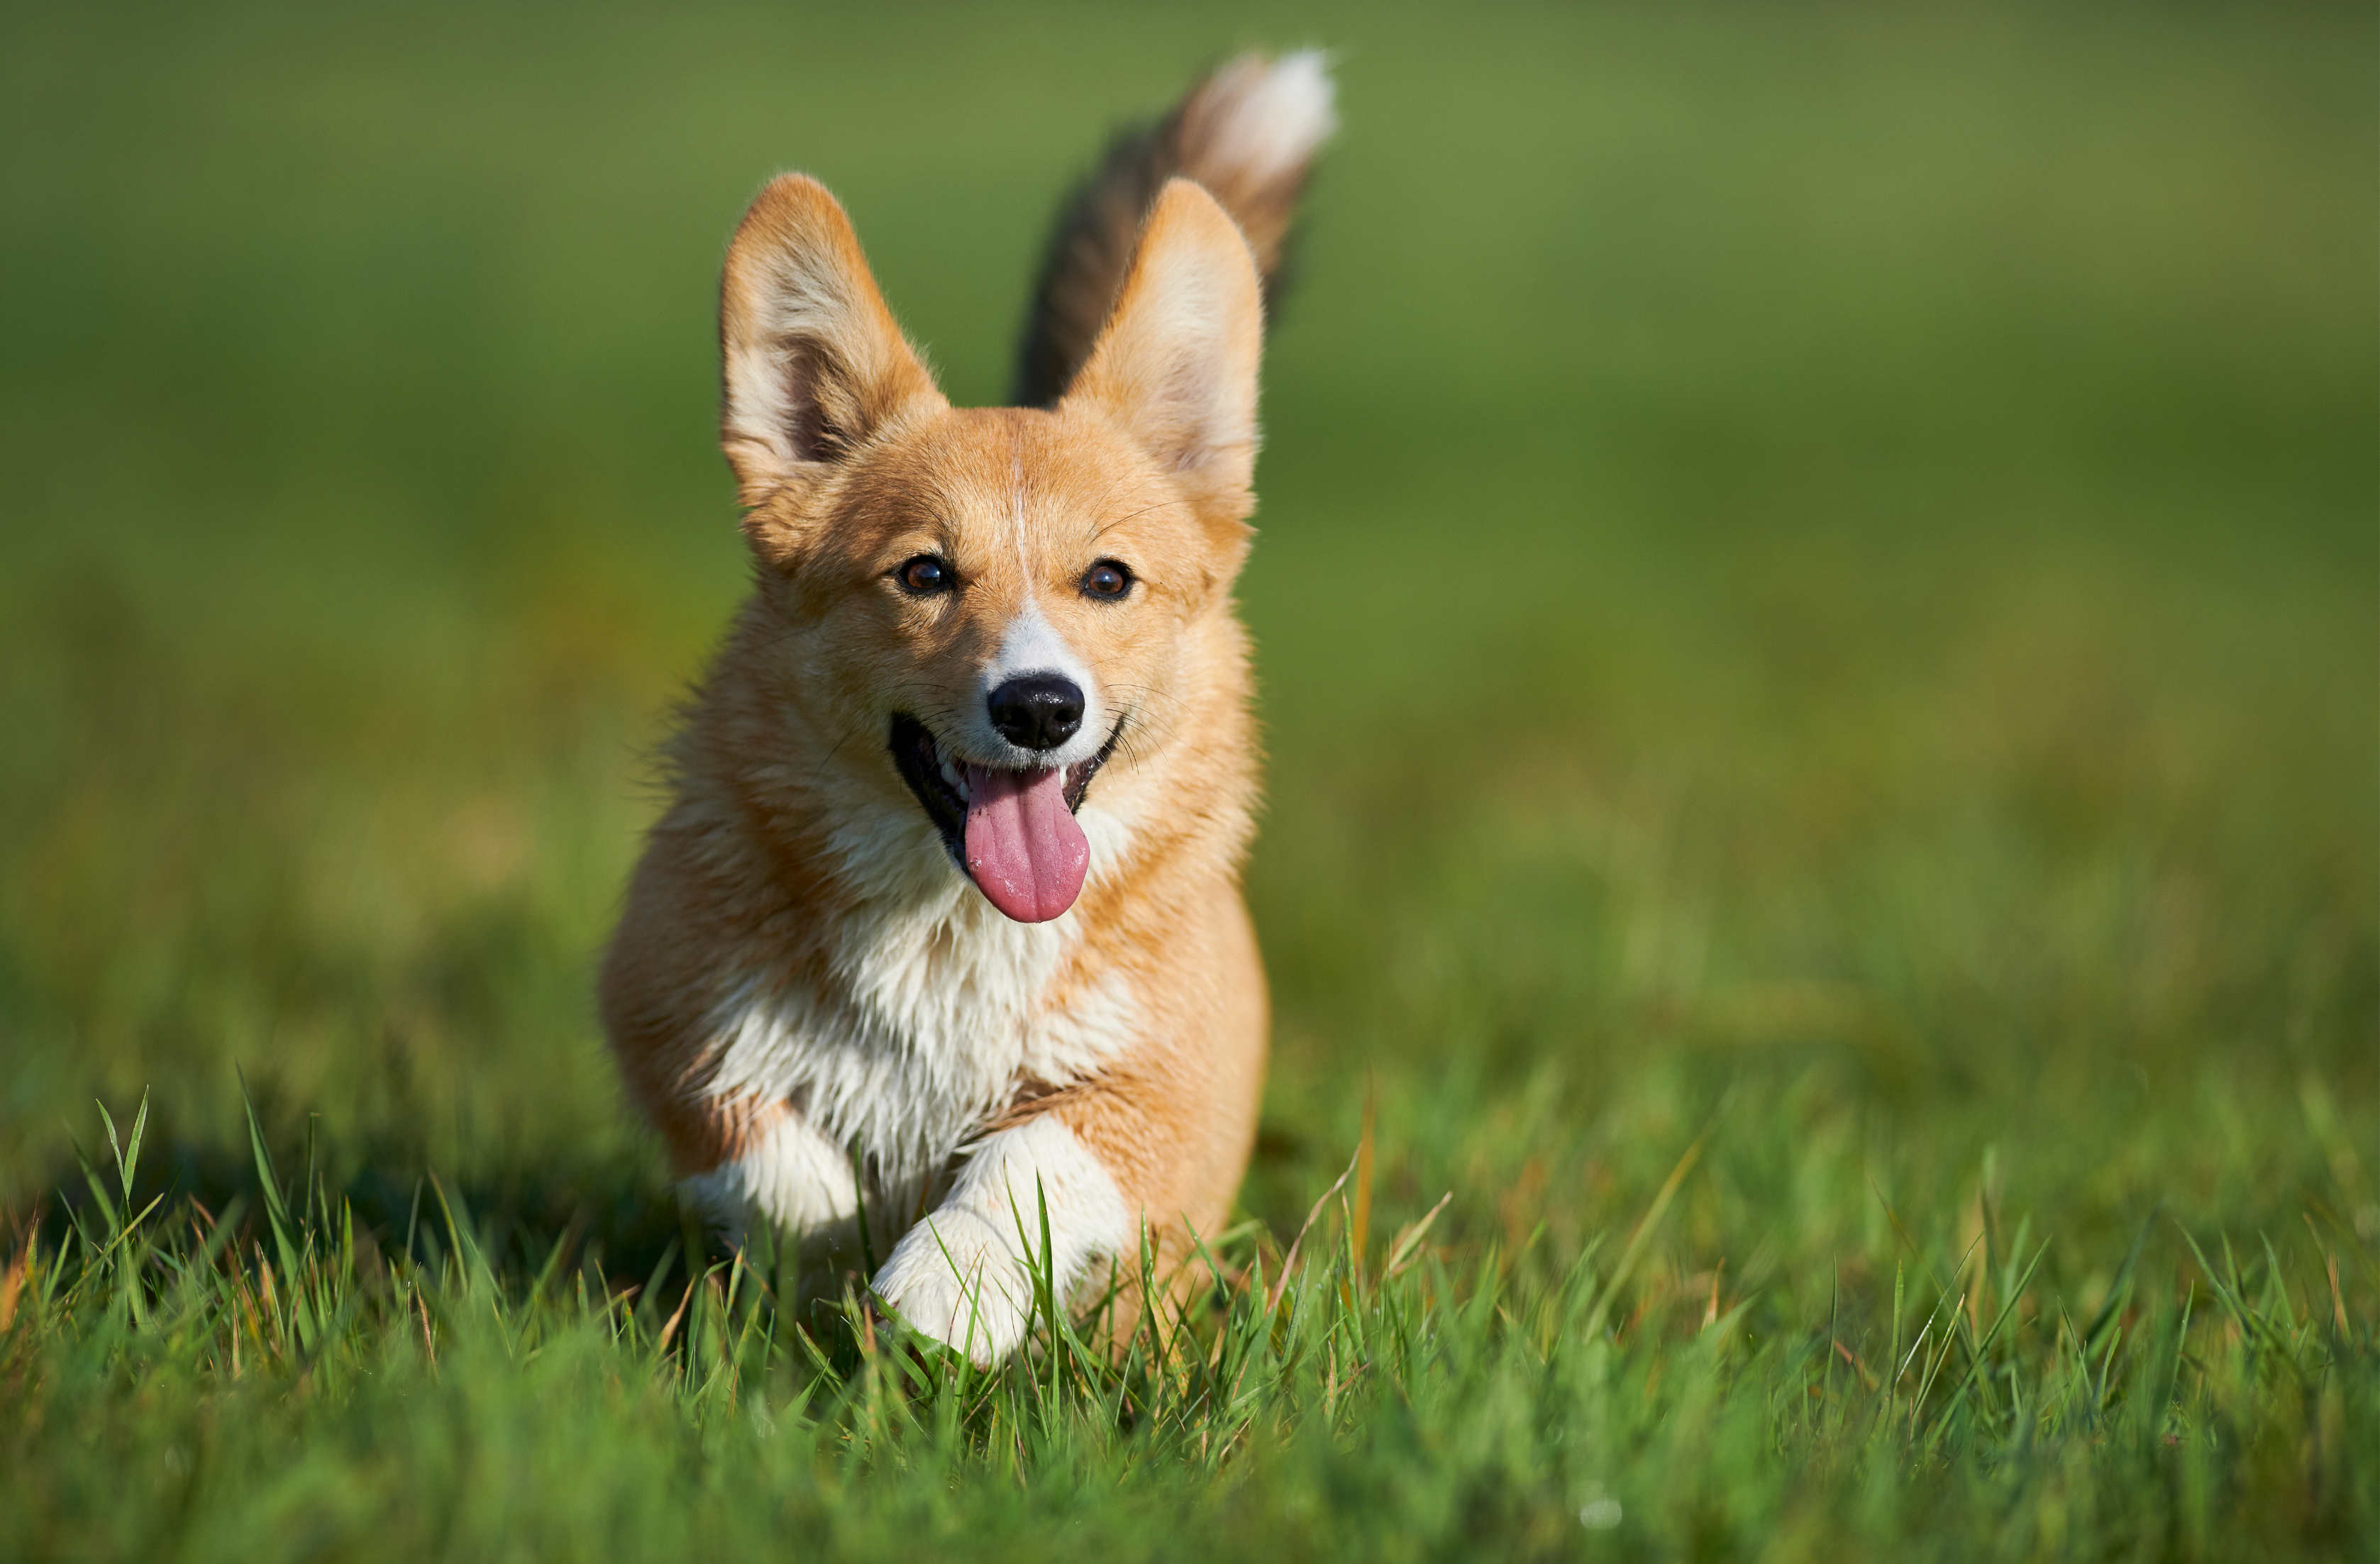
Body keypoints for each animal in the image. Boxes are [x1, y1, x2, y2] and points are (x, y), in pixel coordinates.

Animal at [599, 55, 1342, 1361]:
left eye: (1107, 581)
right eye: (924, 574)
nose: (1040, 707)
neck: (950, 924)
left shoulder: (1167, 1092)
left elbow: (1032, 1153)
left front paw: (948, 1287)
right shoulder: (662, 1013)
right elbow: (772, 1158)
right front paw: (835, 1258)